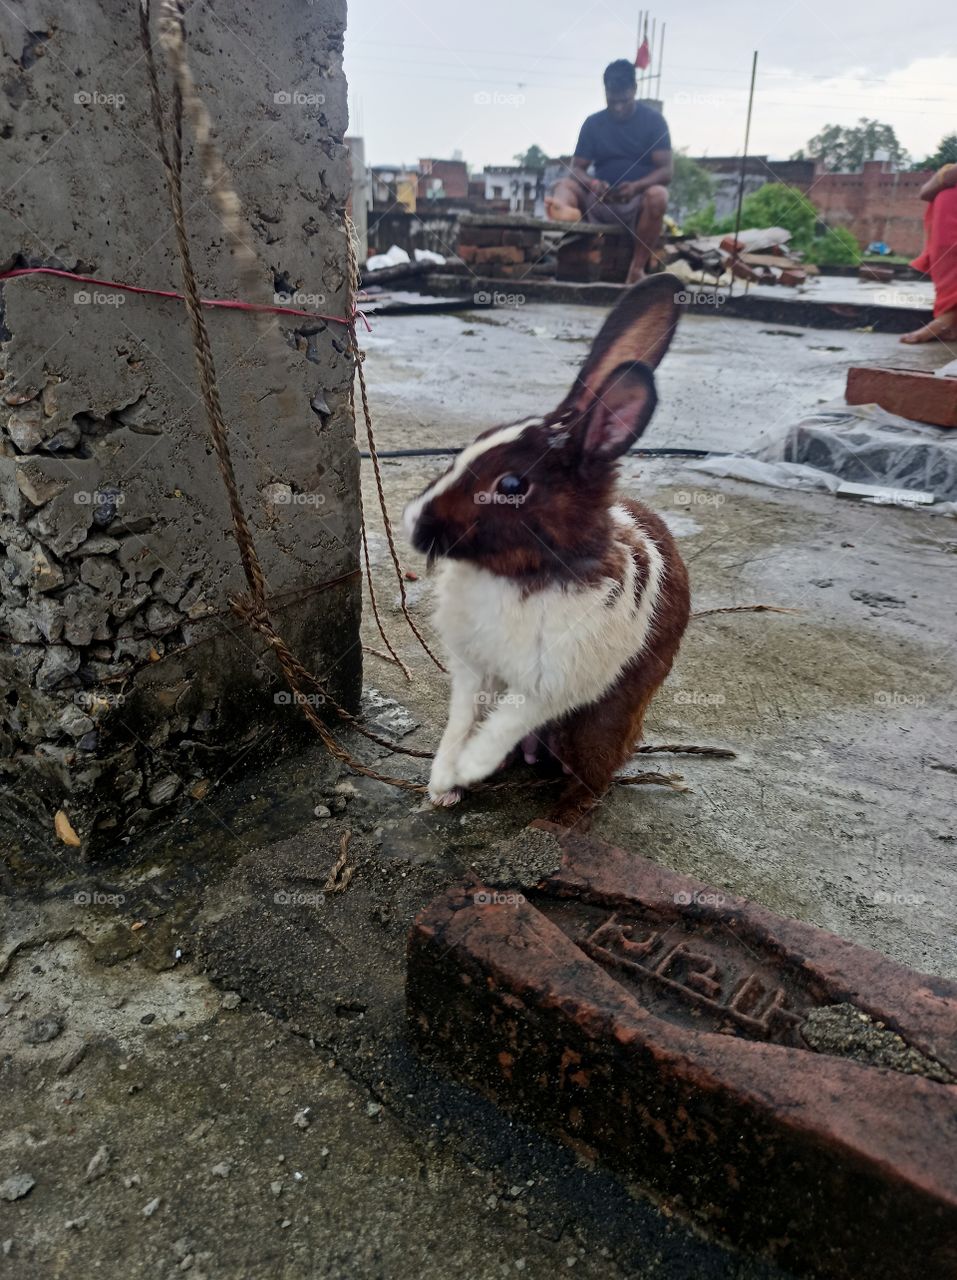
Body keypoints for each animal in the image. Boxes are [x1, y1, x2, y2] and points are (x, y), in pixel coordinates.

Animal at [403, 273, 690, 828]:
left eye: (512, 484)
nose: (413, 525)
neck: (516, 575)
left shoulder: (555, 681)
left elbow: (506, 722)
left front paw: (468, 767)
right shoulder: (473, 672)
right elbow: (462, 719)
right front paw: (444, 781)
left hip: (602, 724)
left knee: (595, 773)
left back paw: (556, 820)